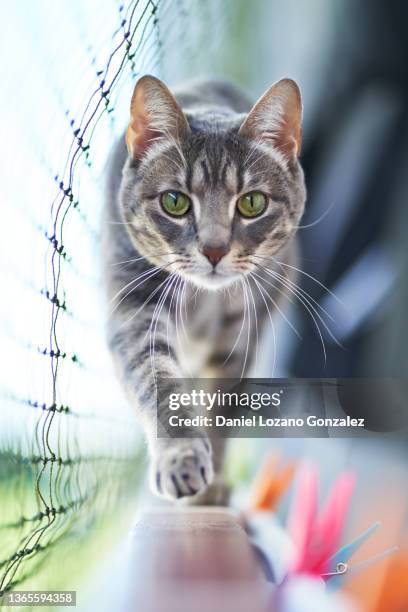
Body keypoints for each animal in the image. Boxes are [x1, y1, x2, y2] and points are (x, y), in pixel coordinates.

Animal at [103, 73, 304, 502]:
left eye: (253, 203)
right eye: (175, 201)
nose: (214, 249)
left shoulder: (239, 339)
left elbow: (219, 411)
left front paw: (209, 491)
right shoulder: (135, 309)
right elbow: (160, 383)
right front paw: (180, 457)